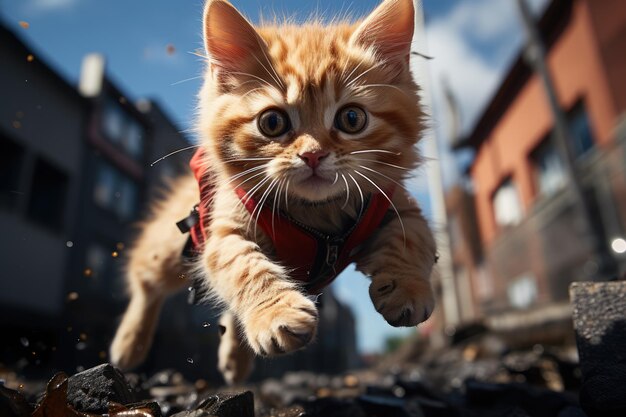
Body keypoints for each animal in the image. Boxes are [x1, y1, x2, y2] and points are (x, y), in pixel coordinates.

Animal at [109, 0, 436, 384]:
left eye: (352, 119)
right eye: (272, 123)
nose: (313, 155)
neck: (316, 215)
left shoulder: (397, 205)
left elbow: (411, 240)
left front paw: (406, 287)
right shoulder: (224, 232)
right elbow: (246, 268)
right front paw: (276, 313)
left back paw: (236, 359)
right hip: (172, 245)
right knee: (145, 282)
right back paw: (129, 344)